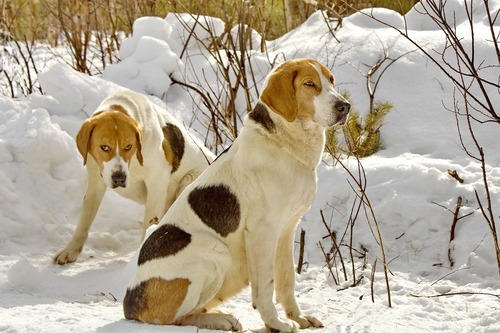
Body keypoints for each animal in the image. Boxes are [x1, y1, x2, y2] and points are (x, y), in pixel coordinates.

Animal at [54, 89, 215, 264]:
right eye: (104, 147)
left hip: (189, 180)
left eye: (128, 146)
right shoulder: (95, 182)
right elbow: (84, 220)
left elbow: (149, 222)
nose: (119, 178)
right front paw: (70, 250)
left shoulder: (156, 182)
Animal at [122, 58, 350, 330]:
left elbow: (286, 283)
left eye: (331, 80)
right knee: (177, 319)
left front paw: (299, 318)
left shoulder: (286, 230)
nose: (345, 107)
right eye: (309, 84)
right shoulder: (262, 233)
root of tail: (130, 302)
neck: (283, 143)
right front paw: (276, 324)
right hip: (214, 253)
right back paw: (220, 320)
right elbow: (265, 289)